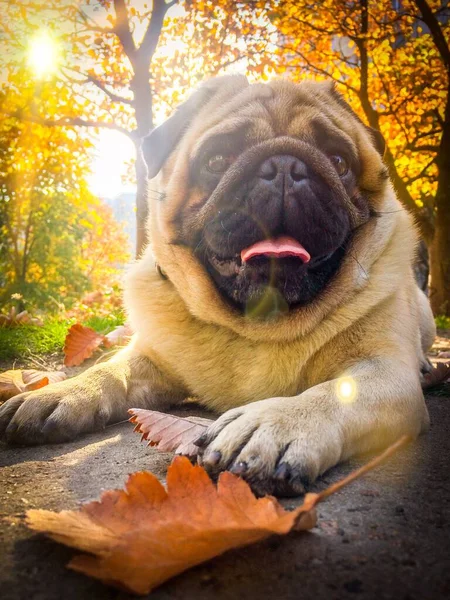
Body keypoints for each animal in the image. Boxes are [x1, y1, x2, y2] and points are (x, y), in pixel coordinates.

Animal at [0, 76, 436, 496]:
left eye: (339, 161)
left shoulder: (387, 373)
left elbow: (335, 391)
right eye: (216, 160)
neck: (259, 325)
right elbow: (110, 368)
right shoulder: (152, 357)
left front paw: (274, 423)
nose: (284, 165)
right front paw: (61, 392)